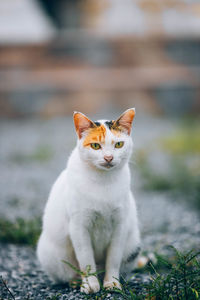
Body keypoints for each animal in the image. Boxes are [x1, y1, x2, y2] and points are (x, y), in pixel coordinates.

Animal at [37, 107, 141, 292]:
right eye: (95, 146)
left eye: (119, 144)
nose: (108, 158)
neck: (103, 181)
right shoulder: (79, 226)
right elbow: (86, 259)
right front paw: (90, 284)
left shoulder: (120, 225)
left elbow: (113, 258)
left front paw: (112, 283)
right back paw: (76, 282)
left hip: (133, 246)